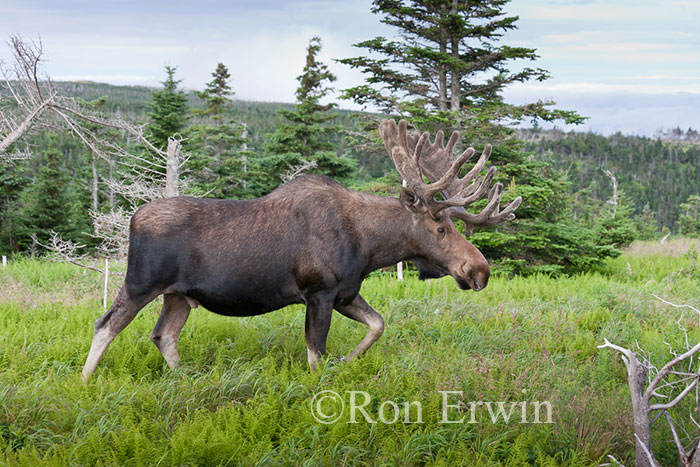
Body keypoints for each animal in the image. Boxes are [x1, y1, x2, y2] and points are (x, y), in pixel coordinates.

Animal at [80, 118, 520, 380]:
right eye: (440, 227)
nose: (479, 270)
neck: (371, 248)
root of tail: (134, 218)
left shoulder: (347, 293)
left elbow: (378, 325)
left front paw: (349, 360)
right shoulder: (318, 293)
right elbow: (315, 354)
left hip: (178, 296)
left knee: (163, 335)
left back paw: (185, 378)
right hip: (141, 284)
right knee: (106, 325)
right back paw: (85, 381)